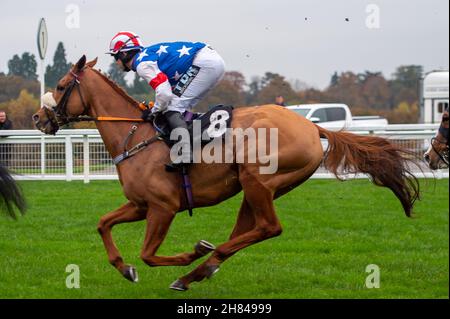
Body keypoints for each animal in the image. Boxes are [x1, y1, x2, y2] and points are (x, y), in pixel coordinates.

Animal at [32, 56, 422, 292]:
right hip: (258, 188)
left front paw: (188, 252)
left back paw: (200, 262)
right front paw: (124, 268)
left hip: (257, 179)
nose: (38, 117)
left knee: (269, 228)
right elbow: (103, 223)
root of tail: (312, 127)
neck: (135, 136)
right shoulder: (140, 205)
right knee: (250, 230)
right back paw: (200, 271)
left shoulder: (163, 207)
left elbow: (148, 253)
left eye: (63, 85)